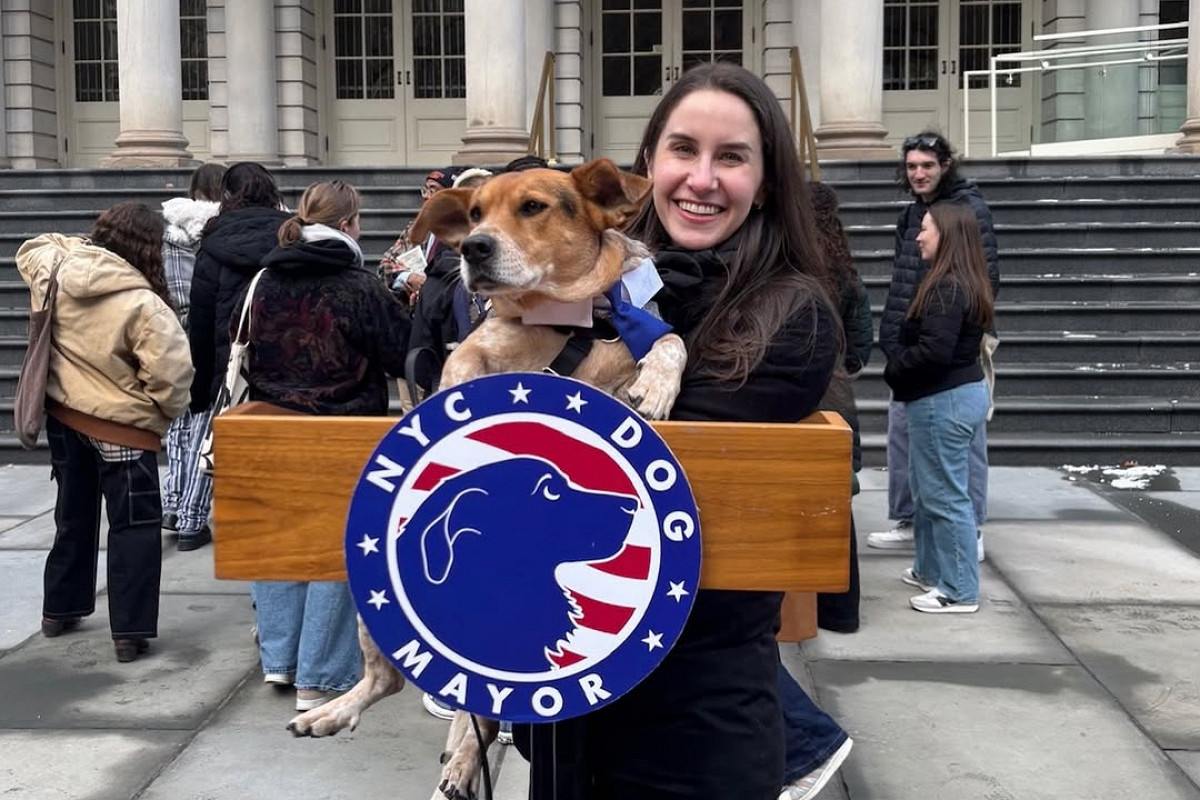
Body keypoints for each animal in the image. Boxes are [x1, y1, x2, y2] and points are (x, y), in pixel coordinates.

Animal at [284, 158, 691, 800]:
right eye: (475, 213)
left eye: (533, 207)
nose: (474, 247)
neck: (568, 317)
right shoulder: (476, 348)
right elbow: (461, 371)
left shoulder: (638, 330)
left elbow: (669, 342)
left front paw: (654, 385)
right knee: (402, 686)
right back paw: (345, 717)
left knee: (469, 708)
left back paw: (456, 760)